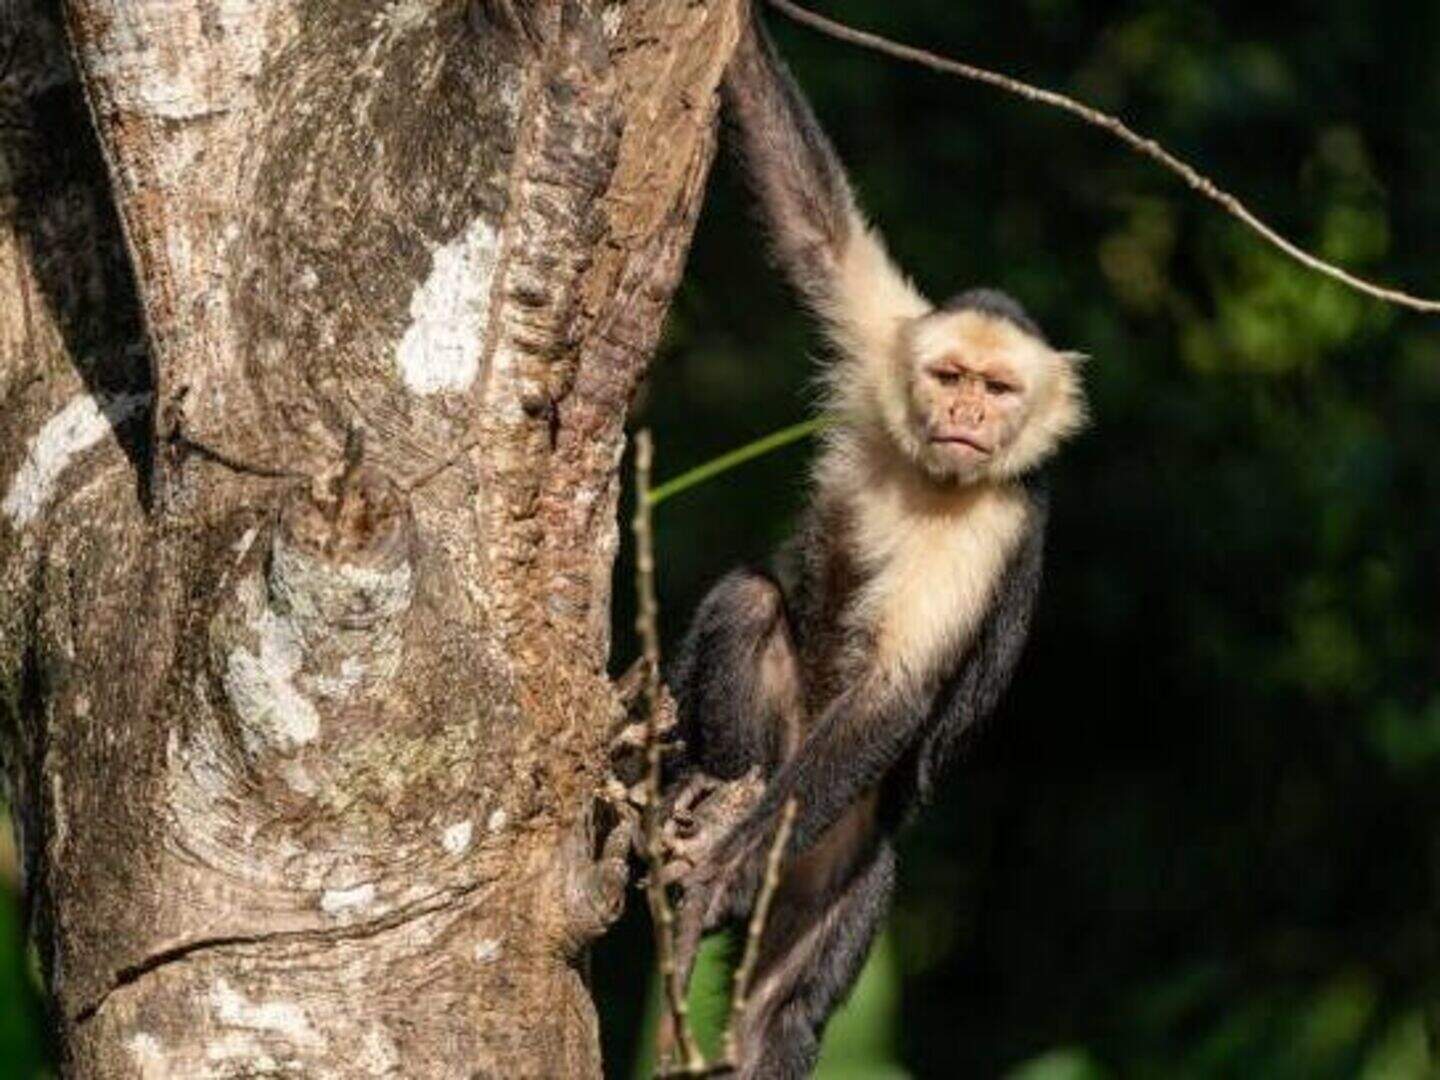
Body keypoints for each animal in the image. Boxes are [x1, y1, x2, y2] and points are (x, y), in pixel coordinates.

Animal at [658, 9, 1087, 1079]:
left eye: (1000, 390)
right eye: (949, 375)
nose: (968, 415)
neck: (939, 476)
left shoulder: (994, 524)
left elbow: (897, 689)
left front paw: (729, 866)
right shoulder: (885, 334)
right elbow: (810, 220)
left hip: (849, 847)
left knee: (782, 1015)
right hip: (786, 768)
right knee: (749, 603)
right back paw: (695, 787)